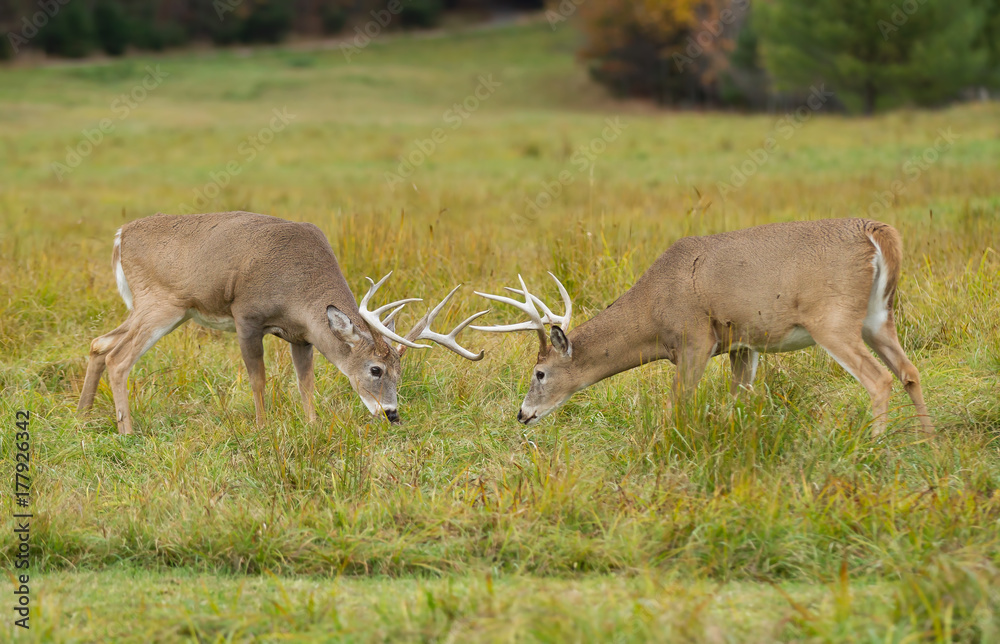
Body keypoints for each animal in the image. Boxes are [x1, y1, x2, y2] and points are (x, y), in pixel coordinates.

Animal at [77, 211, 487, 434]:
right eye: (375, 369)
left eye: (400, 374)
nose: (392, 413)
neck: (297, 289)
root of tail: (121, 235)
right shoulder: (246, 316)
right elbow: (258, 379)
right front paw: (262, 428)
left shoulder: (301, 336)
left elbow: (305, 383)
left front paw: (313, 425)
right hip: (162, 304)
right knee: (118, 358)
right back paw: (127, 430)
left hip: (161, 310)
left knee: (99, 343)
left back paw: (82, 416)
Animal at [472, 218, 933, 435]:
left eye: (539, 372)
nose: (522, 414)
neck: (654, 308)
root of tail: (879, 233)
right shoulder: (742, 344)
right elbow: (737, 404)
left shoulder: (694, 340)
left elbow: (677, 406)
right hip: (879, 316)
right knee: (909, 372)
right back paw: (926, 442)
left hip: (833, 320)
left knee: (879, 380)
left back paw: (872, 446)